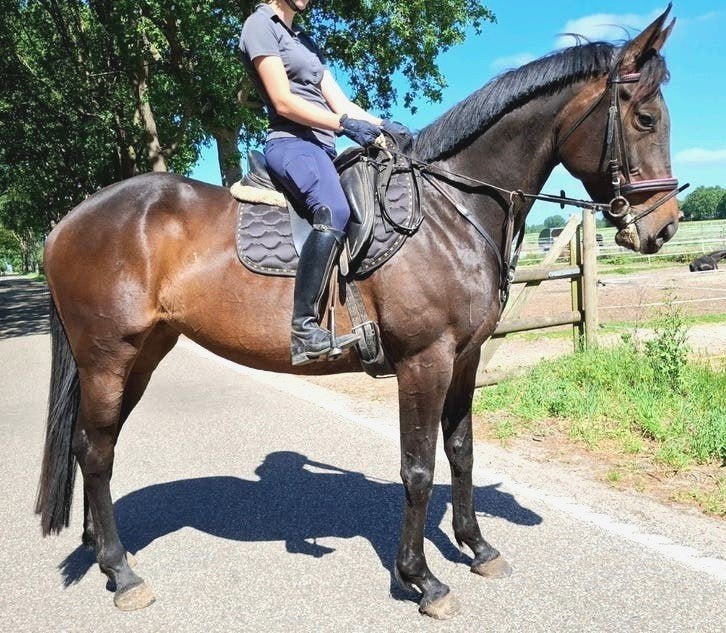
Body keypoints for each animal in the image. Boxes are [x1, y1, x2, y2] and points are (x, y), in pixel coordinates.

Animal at [36, 8, 681, 618]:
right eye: (645, 119)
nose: (664, 227)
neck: (450, 209)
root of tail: (66, 223)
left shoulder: (465, 360)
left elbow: (462, 452)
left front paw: (478, 548)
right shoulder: (425, 361)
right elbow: (418, 469)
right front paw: (422, 580)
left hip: (141, 355)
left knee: (96, 445)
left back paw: (100, 550)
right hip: (107, 356)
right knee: (94, 450)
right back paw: (122, 573)